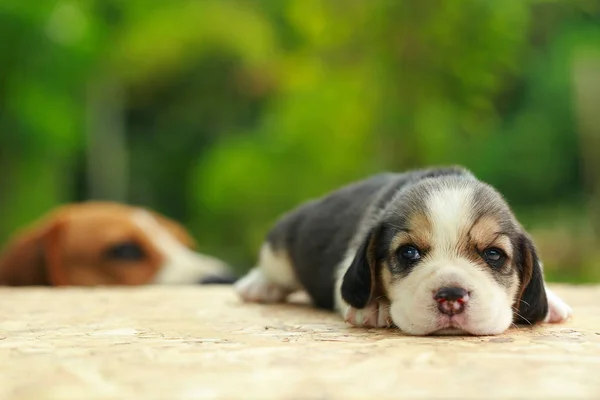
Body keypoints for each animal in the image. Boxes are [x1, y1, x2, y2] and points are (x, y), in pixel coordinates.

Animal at [234, 165, 572, 334]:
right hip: (281, 247)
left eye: (493, 254)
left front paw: (552, 301)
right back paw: (258, 285)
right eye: (409, 253)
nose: (451, 296)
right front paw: (373, 306)